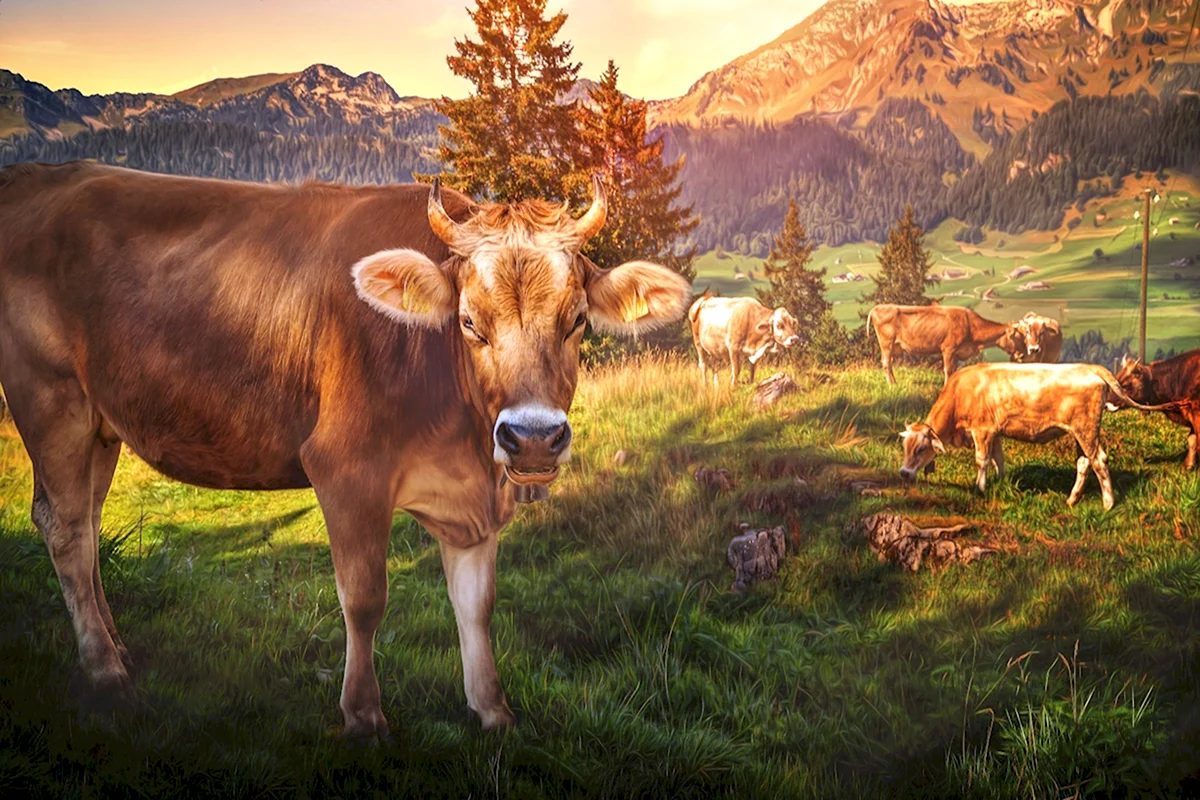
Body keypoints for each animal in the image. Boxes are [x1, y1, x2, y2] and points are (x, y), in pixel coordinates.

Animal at [0, 161, 692, 739]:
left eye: (576, 320)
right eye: (469, 322)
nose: (533, 438)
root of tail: (37, 175)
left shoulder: (473, 498)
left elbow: (477, 604)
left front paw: (492, 710)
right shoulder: (346, 469)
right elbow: (364, 598)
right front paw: (362, 715)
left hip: (100, 423)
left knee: (89, 526)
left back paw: (117, 647)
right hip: (50, 399)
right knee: (65, 528)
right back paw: (105, 670)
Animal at [868, 303, 1024, 385]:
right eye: (1018, 336)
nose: (1022, 354)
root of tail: (878, 307)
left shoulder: (956, 353)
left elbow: (954, 370)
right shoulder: (948, 348)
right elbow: (948, 370)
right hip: (886, 344)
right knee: (886, 363)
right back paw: (892, 384)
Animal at [897, 363, 1161, 510]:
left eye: (921, 449)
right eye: (905, 447)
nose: (903, 473)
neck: (963, 391)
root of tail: (1091, 367)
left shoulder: (982, 430)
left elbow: (982, 461)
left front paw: (979, 489)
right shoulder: (995, 432)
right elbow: (998, 459)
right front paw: (1000, 482)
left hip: (1086, 430)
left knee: (1099, 460)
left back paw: (1108, 504)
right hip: (1080, 433)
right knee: (1084, 463)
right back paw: (1072, 499)